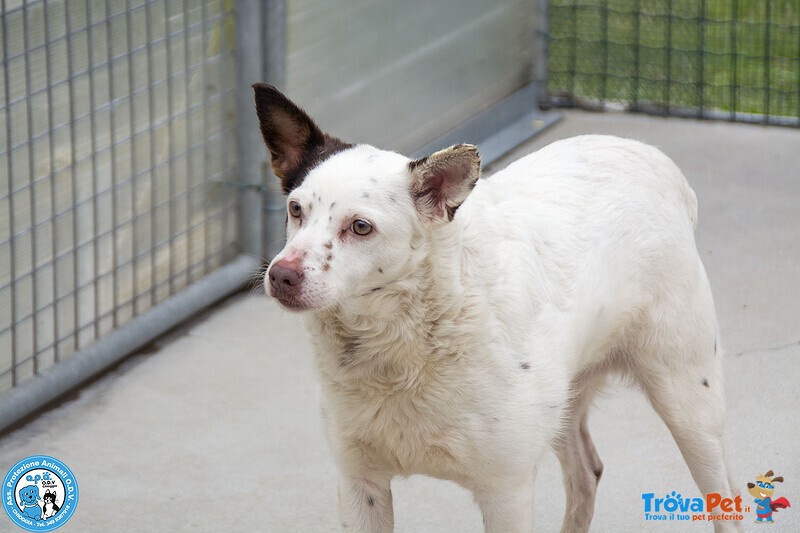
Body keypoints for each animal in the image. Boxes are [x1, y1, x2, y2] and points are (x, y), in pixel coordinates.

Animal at [255, 85, 736, 528]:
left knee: (726, 497)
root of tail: (656, 160)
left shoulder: (506, 493)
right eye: (295, 209)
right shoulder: (360, 483)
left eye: (360, 227)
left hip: (688, 402)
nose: (281, 276)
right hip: (565, 401)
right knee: (586, 474)